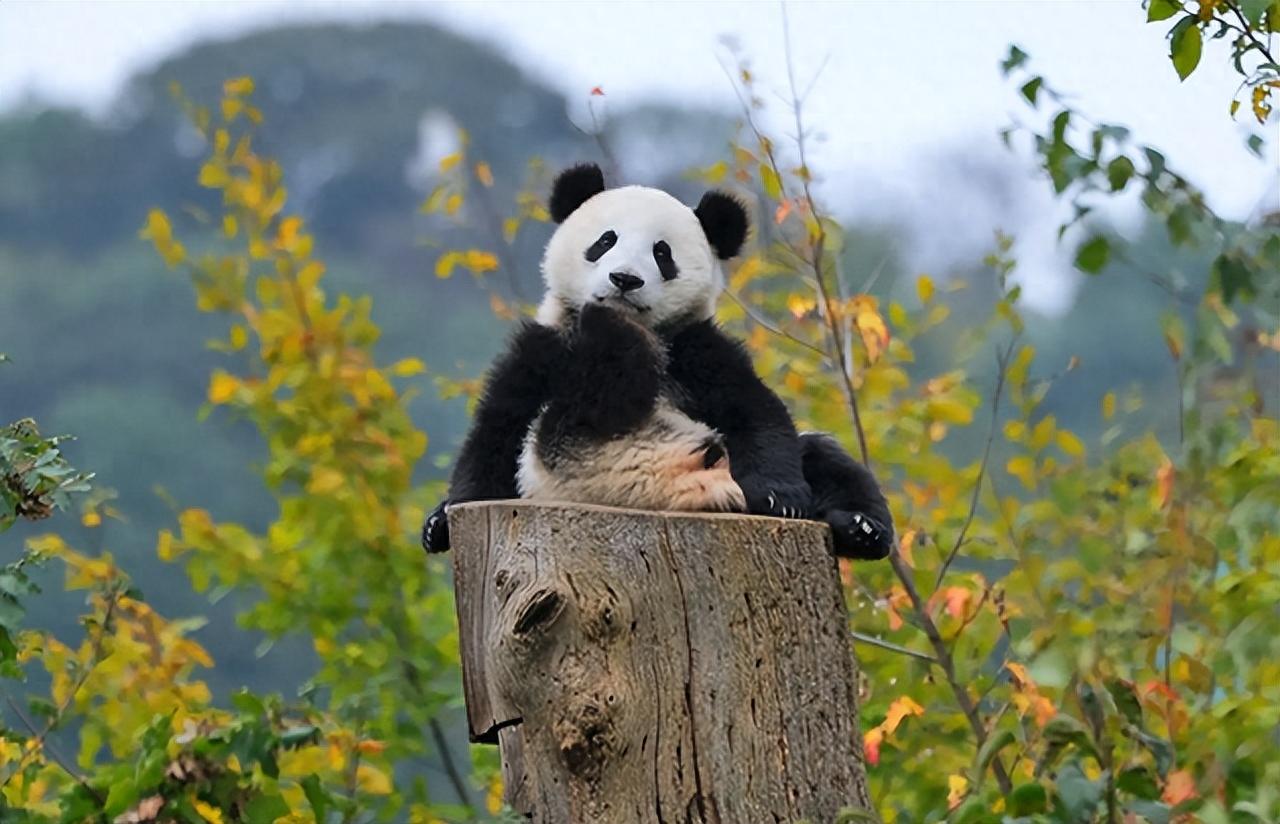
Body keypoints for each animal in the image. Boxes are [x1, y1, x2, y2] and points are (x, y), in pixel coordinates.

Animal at [424, 161, 896, 560]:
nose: (624, 280)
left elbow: (756, 410)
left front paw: (782, 498)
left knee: (823, 456)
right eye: (605, 241)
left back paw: (860, 527)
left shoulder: (696, 349)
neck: (648, 333)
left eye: (662, 253)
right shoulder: (545, 348)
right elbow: (497, 426)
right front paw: (442, 520)